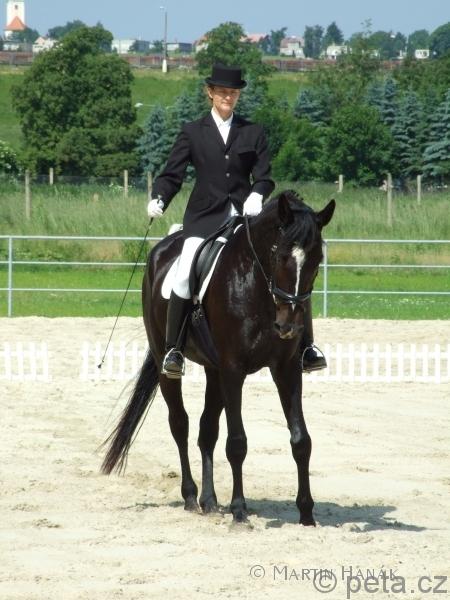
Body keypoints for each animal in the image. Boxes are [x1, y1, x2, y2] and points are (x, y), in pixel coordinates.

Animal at [101, 190, 335, 525]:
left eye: (317, 260)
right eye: (281, 256)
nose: (288, 325)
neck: (256, 285)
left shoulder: (286, 369)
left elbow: (301, 440)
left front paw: (306, 514)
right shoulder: (234, 370)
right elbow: (237, 443)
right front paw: (239, 510)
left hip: (214, 371)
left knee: (206, 430)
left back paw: (209, 500)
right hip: (167, 362)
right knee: (180, 424)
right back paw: (190, 496)